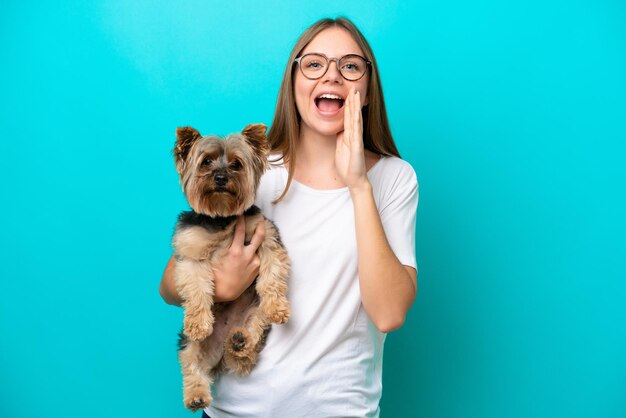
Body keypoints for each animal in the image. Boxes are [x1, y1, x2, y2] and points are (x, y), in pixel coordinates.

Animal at [169, 123, 288, 412]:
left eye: (236, 164)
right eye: (206, 162)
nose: (221, 177)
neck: (222, 217)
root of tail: (220, 353)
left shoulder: (266, 237)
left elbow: (272, 275)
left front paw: (277, 306)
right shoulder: (190, 254)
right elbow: (197, 289)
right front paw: (199, 322)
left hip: (255, 315)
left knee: (248, 348)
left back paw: (240, 343)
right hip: (189, 345)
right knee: (191, 363)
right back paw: (196, 394)